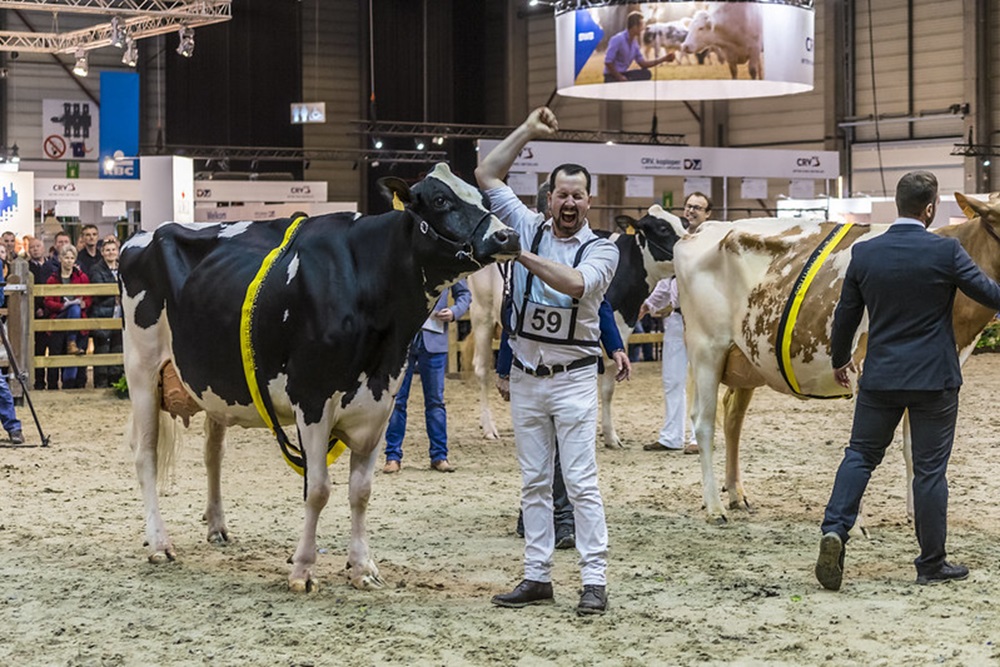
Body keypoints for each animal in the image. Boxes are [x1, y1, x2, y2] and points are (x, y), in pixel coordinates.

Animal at [121, 164, 520, 592]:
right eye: (442, 199)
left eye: (484, 198)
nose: (508, 235)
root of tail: (145, 234)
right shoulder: (311, 400)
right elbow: (318, 489)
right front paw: (302, 570)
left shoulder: (379, 405)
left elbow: (361, 491)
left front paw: (362, 567)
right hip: (142, 370)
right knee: (145, 454)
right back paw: (159, 544)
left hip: (215, 386)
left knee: (214, 453)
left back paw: (217, 526)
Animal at [680, 193, 1000, 528]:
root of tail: (704, 229)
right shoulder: (862, 370)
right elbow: (866, 446)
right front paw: (856, 524)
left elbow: (914, 448)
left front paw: (915, 516)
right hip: (707, 350)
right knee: (704, 422)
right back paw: (715, 506)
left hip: (747, 358)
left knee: (733, 417)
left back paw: (736, 495)